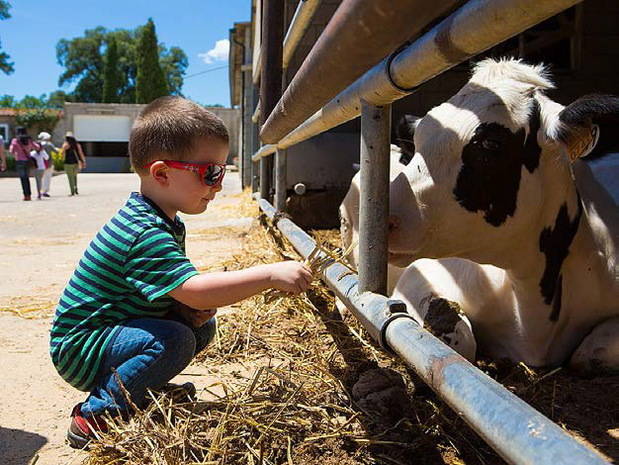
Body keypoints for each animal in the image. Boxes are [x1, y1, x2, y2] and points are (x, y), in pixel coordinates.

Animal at [390, 59, 616, 374]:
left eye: (491, 144)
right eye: (419, 136)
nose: (385, 217)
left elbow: (592, 351)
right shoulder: (420, 275)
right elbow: (459, 337)